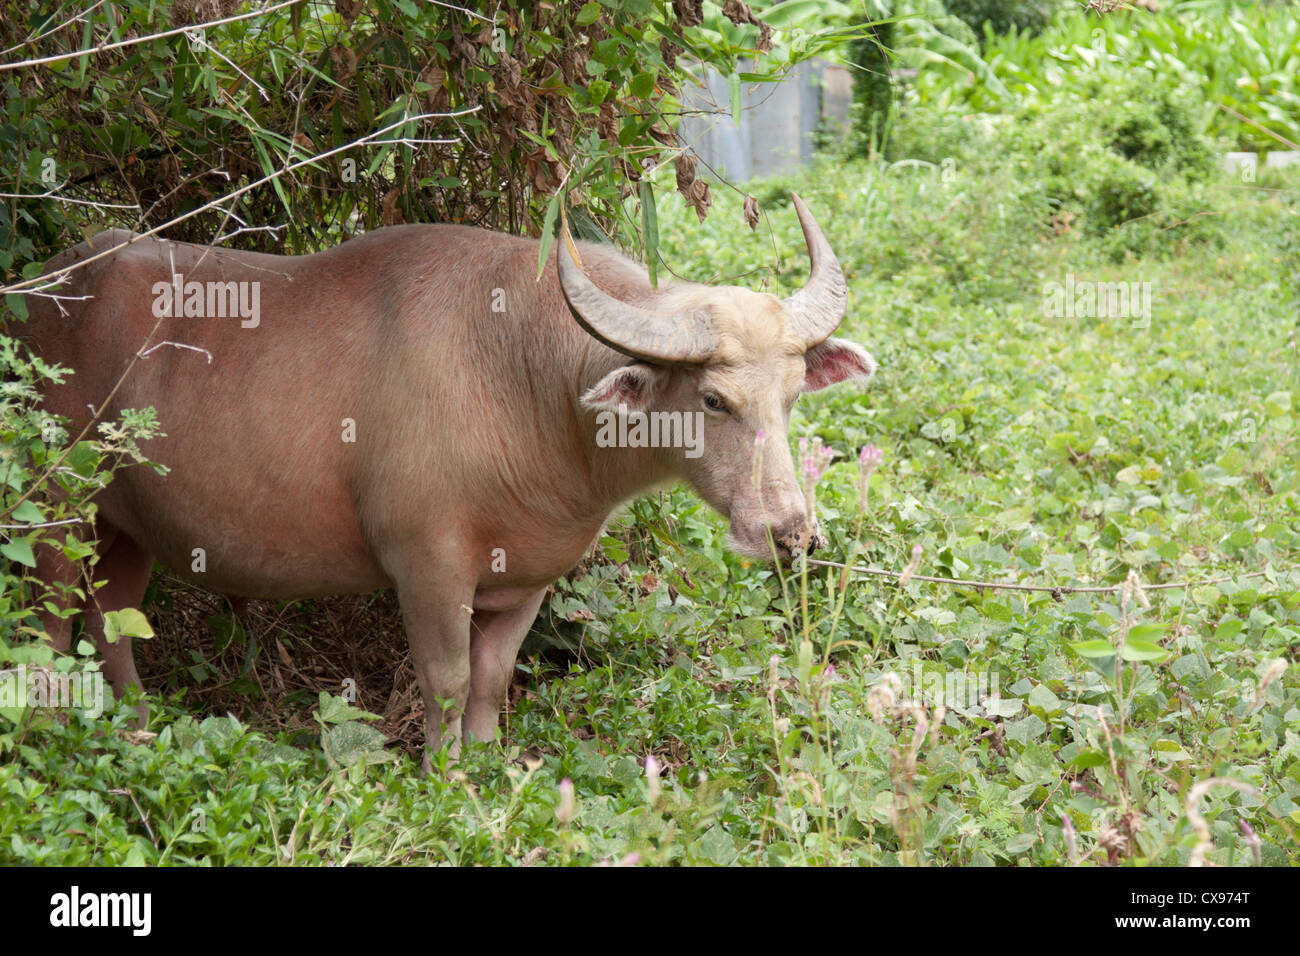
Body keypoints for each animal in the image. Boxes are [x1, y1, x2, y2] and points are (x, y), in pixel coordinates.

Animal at [25, 196, 873, 770]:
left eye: (792, 396)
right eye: (712, 399)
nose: (790, 533)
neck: (534, 390)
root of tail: (38, 296)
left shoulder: (525, 579)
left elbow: (491, 681)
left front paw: (489, 764)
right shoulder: (426, 564)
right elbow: (446, 678)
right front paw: (446, 777)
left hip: (125, 524)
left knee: (111, 618)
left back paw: (140, 726)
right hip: (54, 513)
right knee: (48, 629)